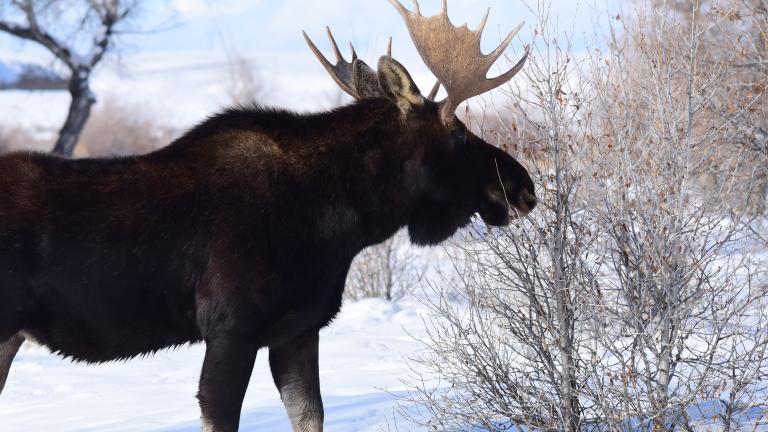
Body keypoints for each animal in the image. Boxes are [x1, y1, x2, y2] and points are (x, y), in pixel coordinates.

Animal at [0, 1, 535, 431]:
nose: (523, 187)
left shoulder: (298, 328)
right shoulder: (231, 329)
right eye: (459, 134)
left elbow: (310, 415)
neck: (342, 223)